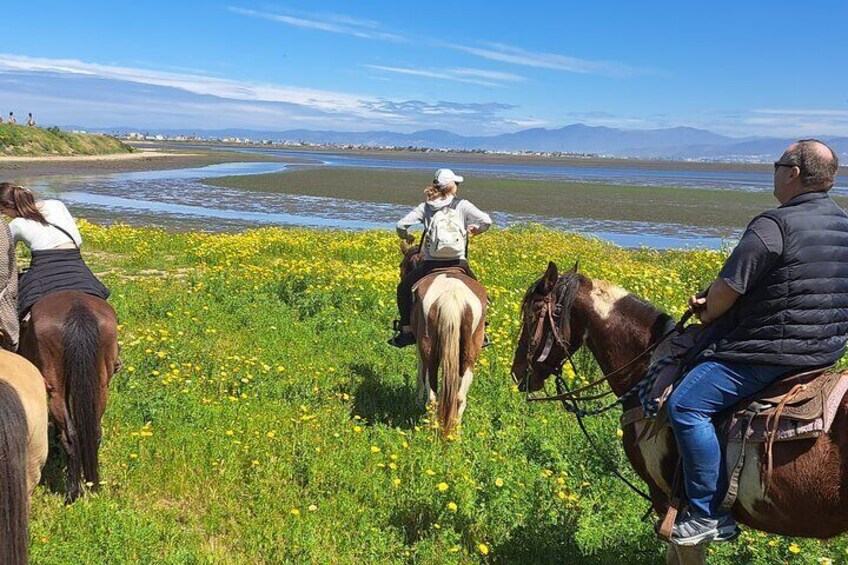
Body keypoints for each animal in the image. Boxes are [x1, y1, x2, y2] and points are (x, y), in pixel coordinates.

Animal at [18, 290, 118, 502]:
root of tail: (77, 311)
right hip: (100, 388)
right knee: (94, 431)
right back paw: (92, 486)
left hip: (55, 390)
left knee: (70, 436)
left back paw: (72, 493)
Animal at [400, 242, 486, 436]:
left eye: (402, 266)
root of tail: (452, 296)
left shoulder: (419, 346)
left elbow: (419, 372)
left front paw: (417, 401)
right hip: (469, 354)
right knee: (460, 397)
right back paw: (455, 434)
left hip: (428, 349)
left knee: (433, 396)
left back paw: (431, 430)